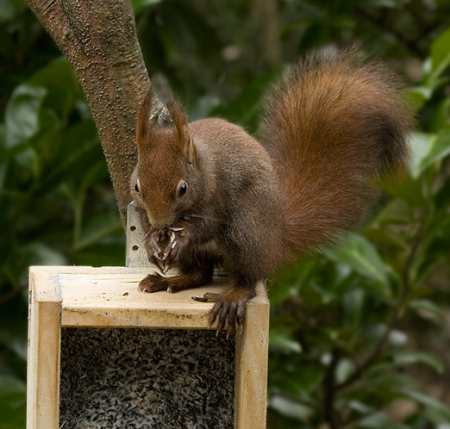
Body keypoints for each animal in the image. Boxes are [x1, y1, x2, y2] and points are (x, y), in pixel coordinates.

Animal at [129, 47, 412, 334]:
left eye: (183, 188)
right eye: (137, 187)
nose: (161, 224)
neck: (203, 166)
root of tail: (276, 237)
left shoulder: (216, 197)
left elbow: (207, 225)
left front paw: (182, 236)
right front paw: (152, 242)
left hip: (247, 231)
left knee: (249, 277)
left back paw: (233, 297)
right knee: (200, 274)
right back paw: (168, 281)